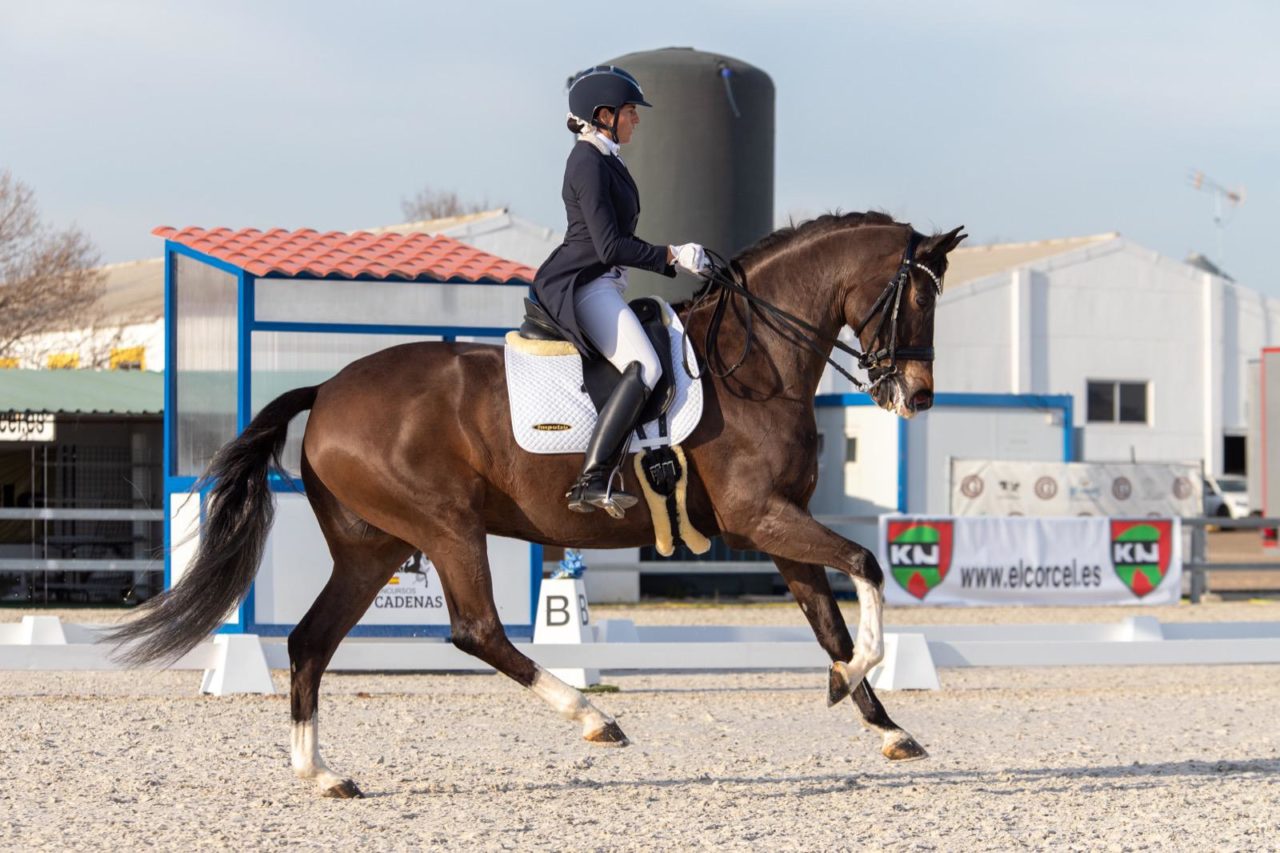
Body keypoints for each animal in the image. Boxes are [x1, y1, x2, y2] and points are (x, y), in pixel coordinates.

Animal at [107, 208, 962, 794]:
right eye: (912, 302)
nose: (917, 396)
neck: (755, 365)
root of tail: (328, 388)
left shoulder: (782, 526)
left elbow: (829, 620)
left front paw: (879, 717)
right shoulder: (760, 519)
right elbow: (868, 564)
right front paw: (859, 680)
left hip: (373, 546)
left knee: (311, 641)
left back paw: (321, 775)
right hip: (445, 527)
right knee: (476, 630)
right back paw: (594, 717)